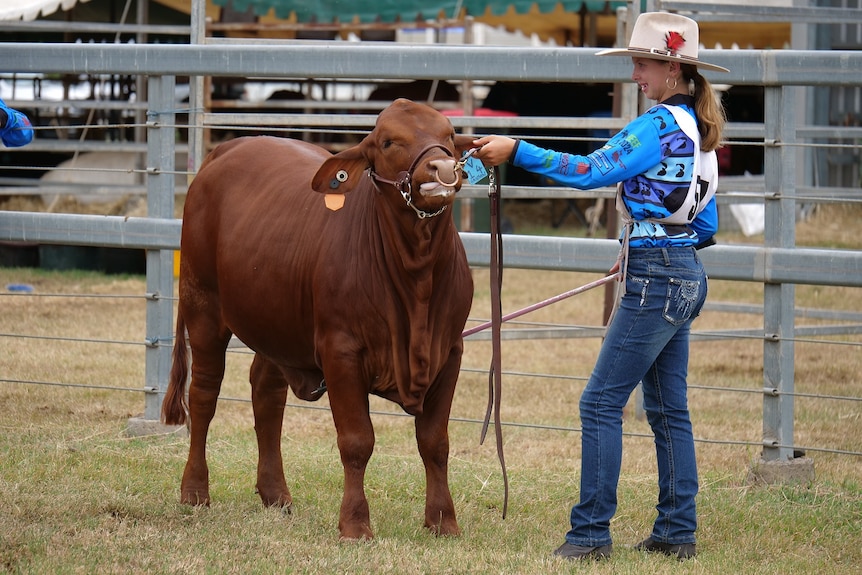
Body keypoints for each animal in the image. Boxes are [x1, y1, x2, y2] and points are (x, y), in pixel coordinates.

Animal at [159, 97, 476, 544]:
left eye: (449, 135)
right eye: (388, 141)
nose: (442, 168)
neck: (417, 277)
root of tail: (229, 148)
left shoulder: (448, 351)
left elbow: (435, 442)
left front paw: (443, 521)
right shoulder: (341, 352)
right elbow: (357, 441)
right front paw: (355, 524)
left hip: (276, 323)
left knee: (266, 394)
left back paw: (275, 494)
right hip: (201, 305)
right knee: (203, 395)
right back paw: (194, 490)